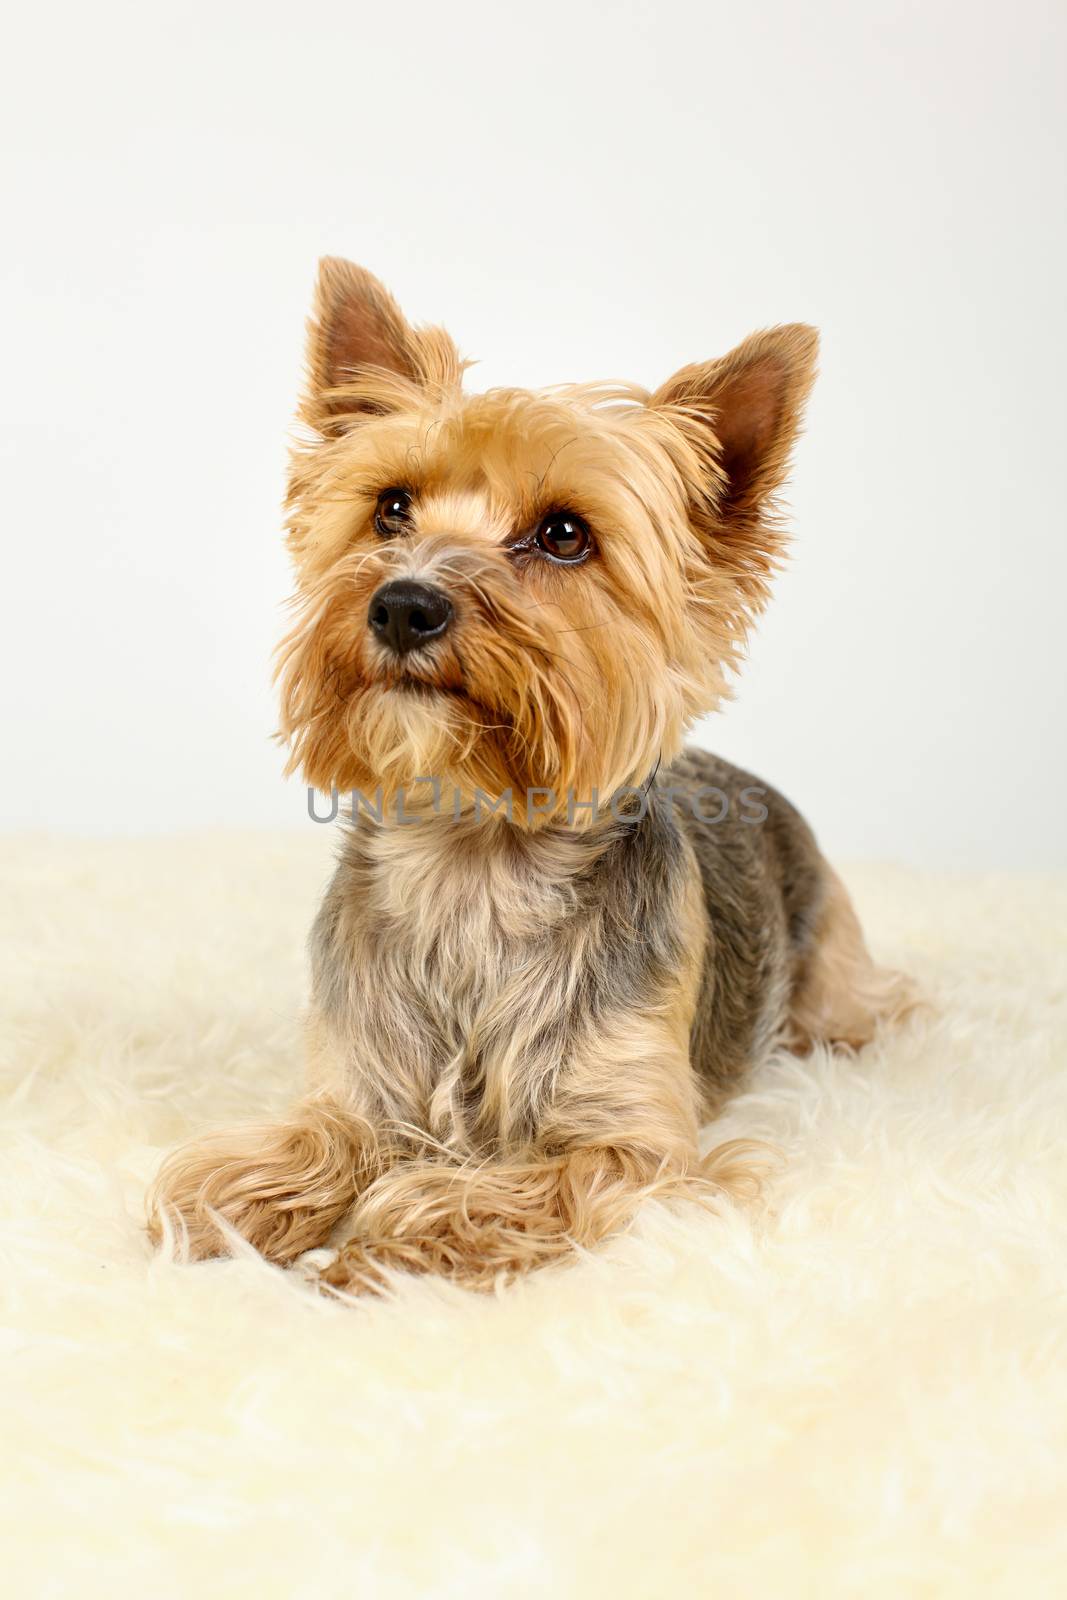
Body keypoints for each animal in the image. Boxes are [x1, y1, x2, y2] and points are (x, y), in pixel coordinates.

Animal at [146, 256, 915, 1292]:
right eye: (391, 507)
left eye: (563, 534)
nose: (402, 605)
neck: (472, 858)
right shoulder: (356, 1080)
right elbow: (317, 1141)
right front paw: (218, 1207)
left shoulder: (639, 1150)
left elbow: (490, 1188)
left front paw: (374, 1242)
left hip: (832, 972)